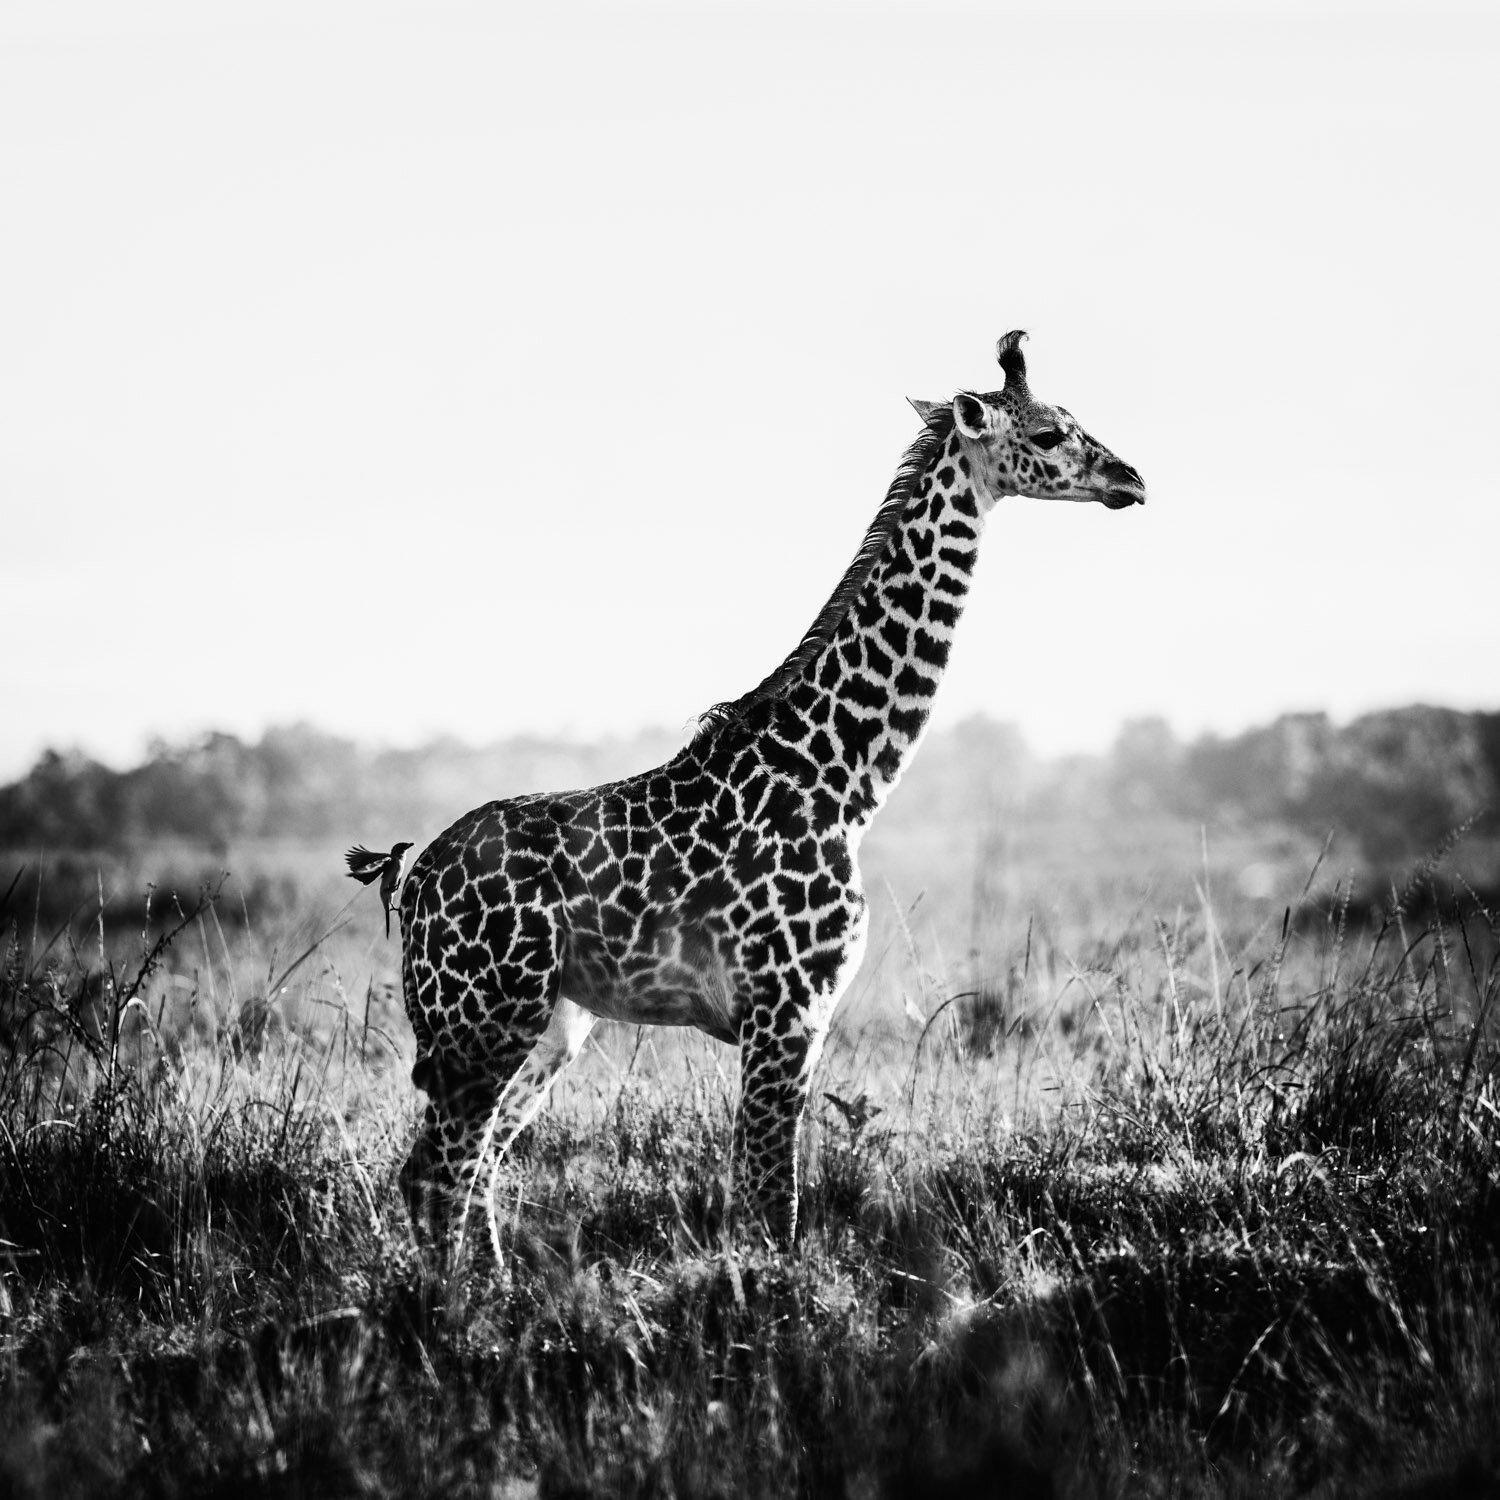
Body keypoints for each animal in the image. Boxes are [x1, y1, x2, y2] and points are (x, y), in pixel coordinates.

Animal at [385, 331, 1145, 1261]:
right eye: (1046, 433)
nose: (1131, 479)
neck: (844, 780)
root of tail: (417, 879)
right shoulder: (785, 1010)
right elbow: (768, 1200)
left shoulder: (797, 1021)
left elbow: (763, 1193)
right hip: (484, 1014)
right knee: (443, 1172)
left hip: (546, 1023)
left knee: (464, 1169)